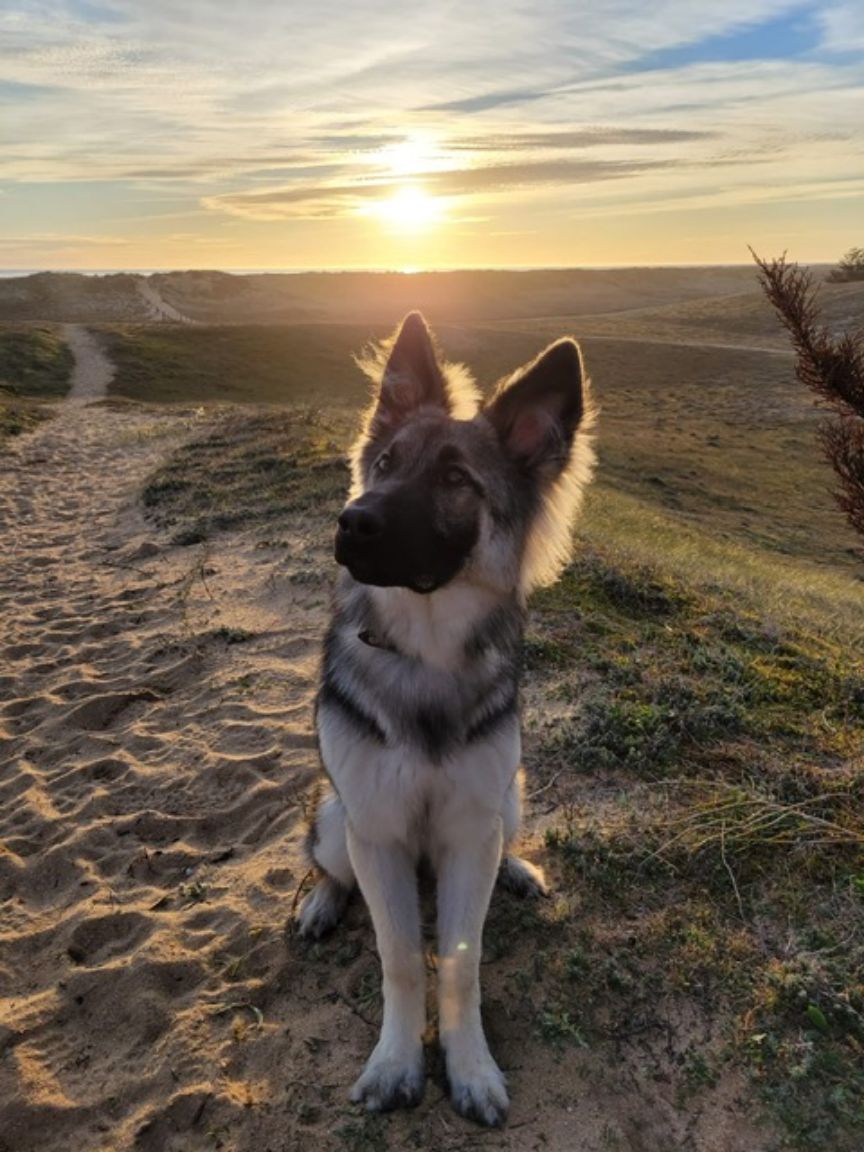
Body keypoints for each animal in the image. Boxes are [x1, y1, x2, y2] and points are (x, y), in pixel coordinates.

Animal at [297, 312, 594, 1126]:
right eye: (385, 463)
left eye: (457, 480)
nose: (351, 521)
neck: (425, 653)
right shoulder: (377, 829)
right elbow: (401, 959)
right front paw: (397, 1063)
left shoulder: (468, 829)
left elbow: (462, 966)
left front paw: (471, 1070)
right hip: (334, 816)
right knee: (326, 863)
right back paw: (320, 902)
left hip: (508, 798)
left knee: (506, 836)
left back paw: (519, 867)